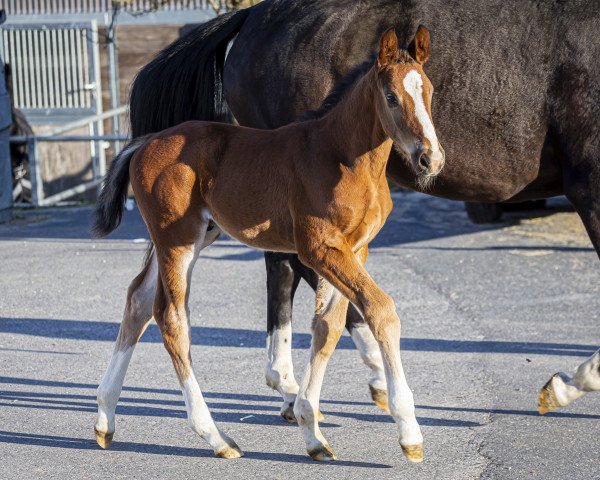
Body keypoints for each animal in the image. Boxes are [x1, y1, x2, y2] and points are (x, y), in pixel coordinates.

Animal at [91, 28, 442, 464]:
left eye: (429, 91)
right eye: (391, 97)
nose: (430, 159)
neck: (340, 155)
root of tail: (146, 140)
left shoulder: (355, 249)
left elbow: (327, 327)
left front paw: (311, 429)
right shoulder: (319, 248)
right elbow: (380, 311)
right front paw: (409, 432)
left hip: (193, 235)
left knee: (138, 301)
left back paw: (105, 419)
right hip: (178, 240)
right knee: (171, 318)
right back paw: (216, 437)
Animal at [129, 0, 600, 418]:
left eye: (432, 93)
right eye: (390, 97)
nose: (432, 158)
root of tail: (252, 16)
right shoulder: (589, 185)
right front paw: (568, 385)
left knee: (288, 269)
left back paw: (299, 385)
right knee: (294, 268)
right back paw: (348, 381)